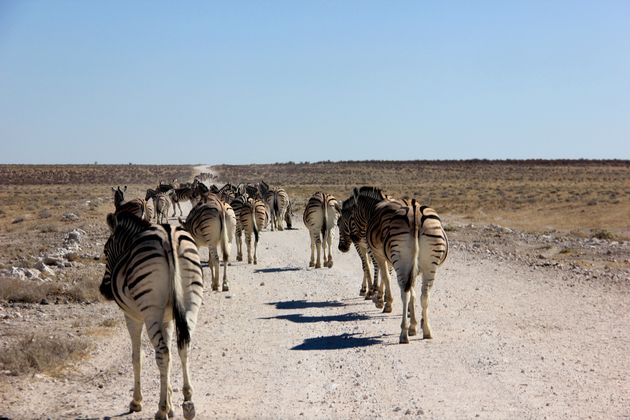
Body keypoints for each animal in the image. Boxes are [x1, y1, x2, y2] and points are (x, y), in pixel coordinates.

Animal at [101, 212, 204, 418]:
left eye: (106, 252)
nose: (103, 290)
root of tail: (168, 235)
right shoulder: (167, 320)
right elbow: (170, 354)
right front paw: (171, 404)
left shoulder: (132, 318)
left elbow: (137, 357)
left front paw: (137, 402)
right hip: (191, 301)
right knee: (183, 347)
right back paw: (187, 401)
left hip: (150, 310)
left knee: (162, 353)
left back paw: (161, 410)